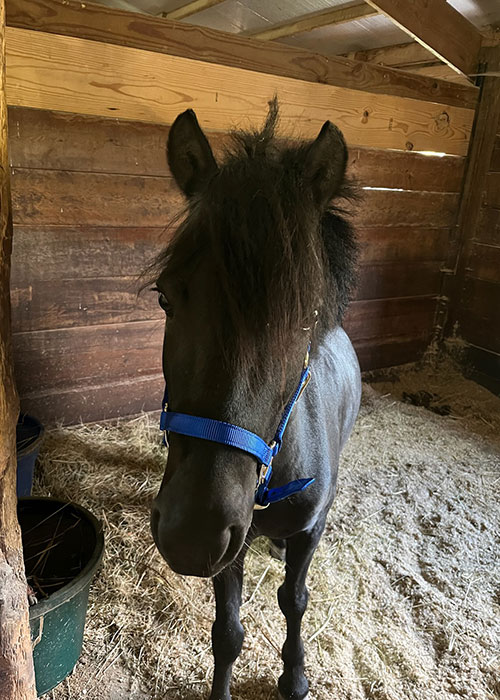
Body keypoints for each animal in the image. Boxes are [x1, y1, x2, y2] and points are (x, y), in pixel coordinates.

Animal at [150, 100, 361, 700]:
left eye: (305, 316)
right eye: (165, 297)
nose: (190, 534)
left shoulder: (310, 528)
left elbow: (295, 600)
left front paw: (295, 676)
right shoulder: (231, 545)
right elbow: (227, 632)